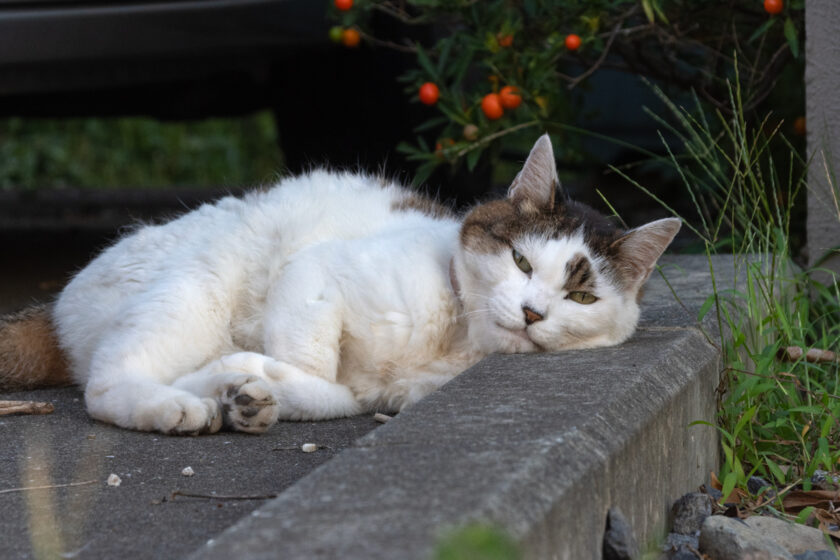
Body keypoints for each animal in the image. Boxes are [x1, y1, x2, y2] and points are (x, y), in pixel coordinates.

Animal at [0, 133, 680, 436]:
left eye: (582, 297)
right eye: (519, 261)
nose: (535, 312)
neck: (457, 340)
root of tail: (55, 307)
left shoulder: (386, 394)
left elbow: (339, 397)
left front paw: (252, 386)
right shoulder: (315, 273)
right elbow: (314, 362)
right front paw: (265, 374)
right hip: (193, 291)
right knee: (105, 384)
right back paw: (176, 406)